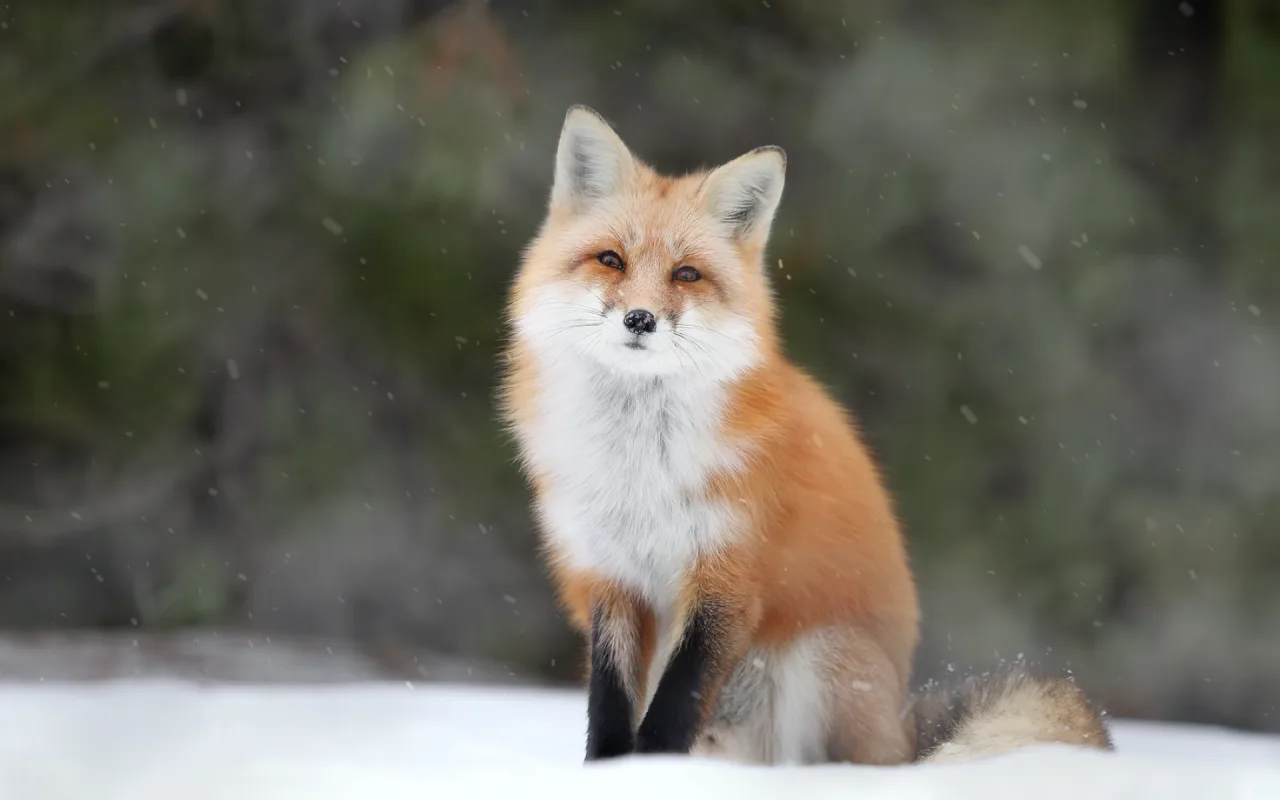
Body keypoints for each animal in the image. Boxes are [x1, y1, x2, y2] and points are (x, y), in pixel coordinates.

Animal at [498, 104, 1114, 766]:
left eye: (686, 273)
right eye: (611, 259)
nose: (641, 319)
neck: (640, 468)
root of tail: (903, 735)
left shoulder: (727, 579)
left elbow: (674, 706)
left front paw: (657, 771)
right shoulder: (610, 577)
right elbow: (609, 706)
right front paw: (609, 774)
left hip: (817, 659)